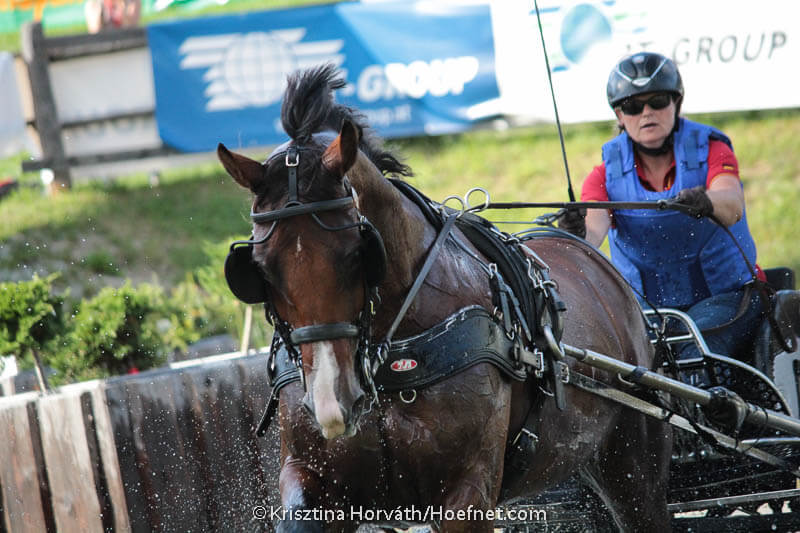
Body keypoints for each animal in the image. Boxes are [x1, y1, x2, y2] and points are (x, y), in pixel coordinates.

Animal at [218, 65, 672, 532]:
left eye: (357, 253)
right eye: (259, 268)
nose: (334, 402)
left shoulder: (467, 492)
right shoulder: (316, 483)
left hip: (635, 469)